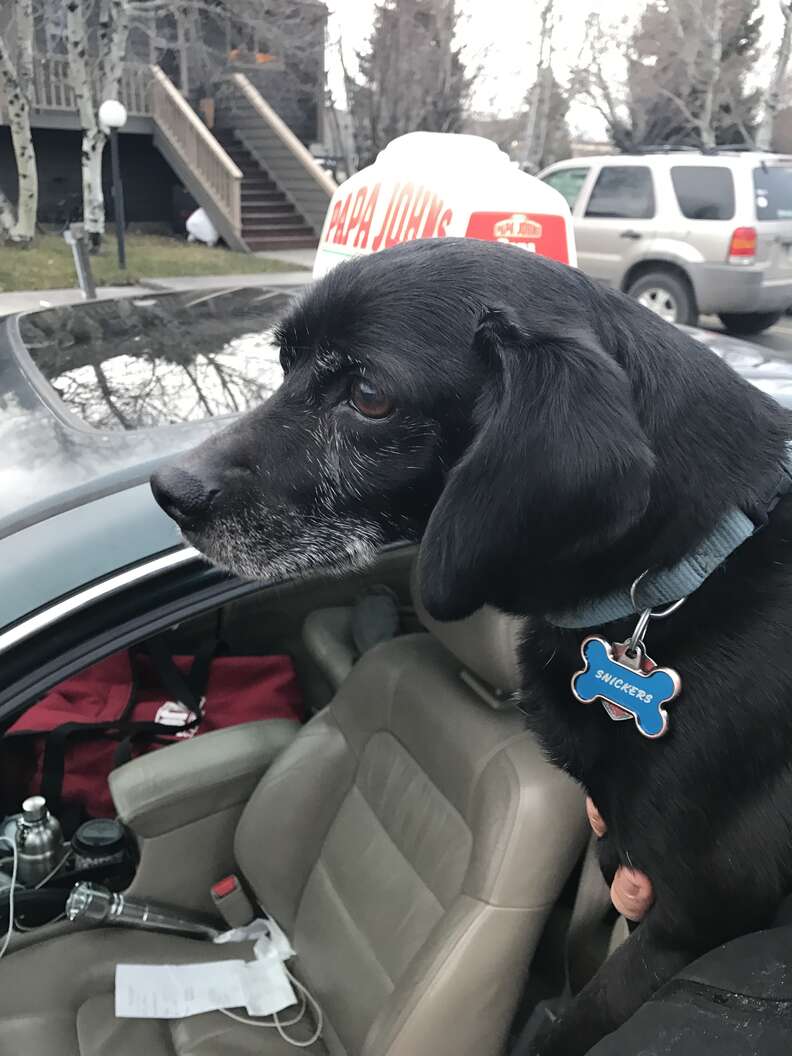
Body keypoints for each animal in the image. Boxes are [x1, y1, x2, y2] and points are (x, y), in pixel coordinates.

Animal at [152, 241, 792, 1056]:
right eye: (286, 361)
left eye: (368, 394)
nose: (166, 488)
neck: (699, 563)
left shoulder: (692, 919)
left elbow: (570, 1022)